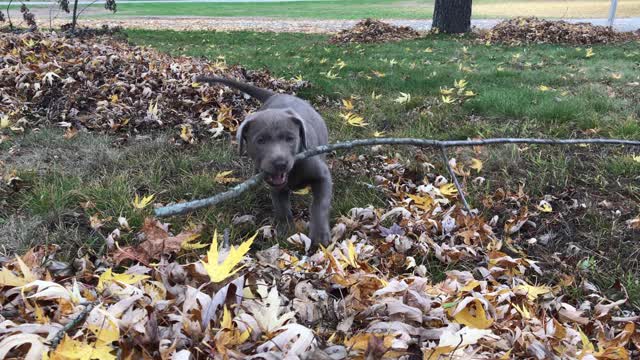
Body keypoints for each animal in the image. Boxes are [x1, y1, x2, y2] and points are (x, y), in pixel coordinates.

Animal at [198, 76, 332, 250]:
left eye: (290, 138)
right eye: (260, 141)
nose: (280, 163)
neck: (292, 171)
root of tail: (276, 95)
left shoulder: (322, 176)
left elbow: (319, 204)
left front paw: (320, 235)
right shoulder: (276, 186)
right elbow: (281, 207)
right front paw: (285, 228)